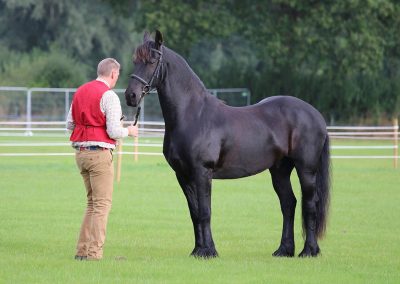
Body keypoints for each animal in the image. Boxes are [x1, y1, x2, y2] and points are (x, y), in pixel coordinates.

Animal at [126, 30, 332, 258]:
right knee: (288, 204)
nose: (131, 96)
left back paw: (309, 251)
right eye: (135, 61)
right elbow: (194, 212)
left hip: (306, 169)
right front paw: (198, 250)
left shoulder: (202, 172)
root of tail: (316, 116)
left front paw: (209, 251)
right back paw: (284, 250)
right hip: (279, 170)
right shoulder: (183, 175)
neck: (193, 115)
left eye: (152, 61)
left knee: (310, 205)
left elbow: (205, 211)